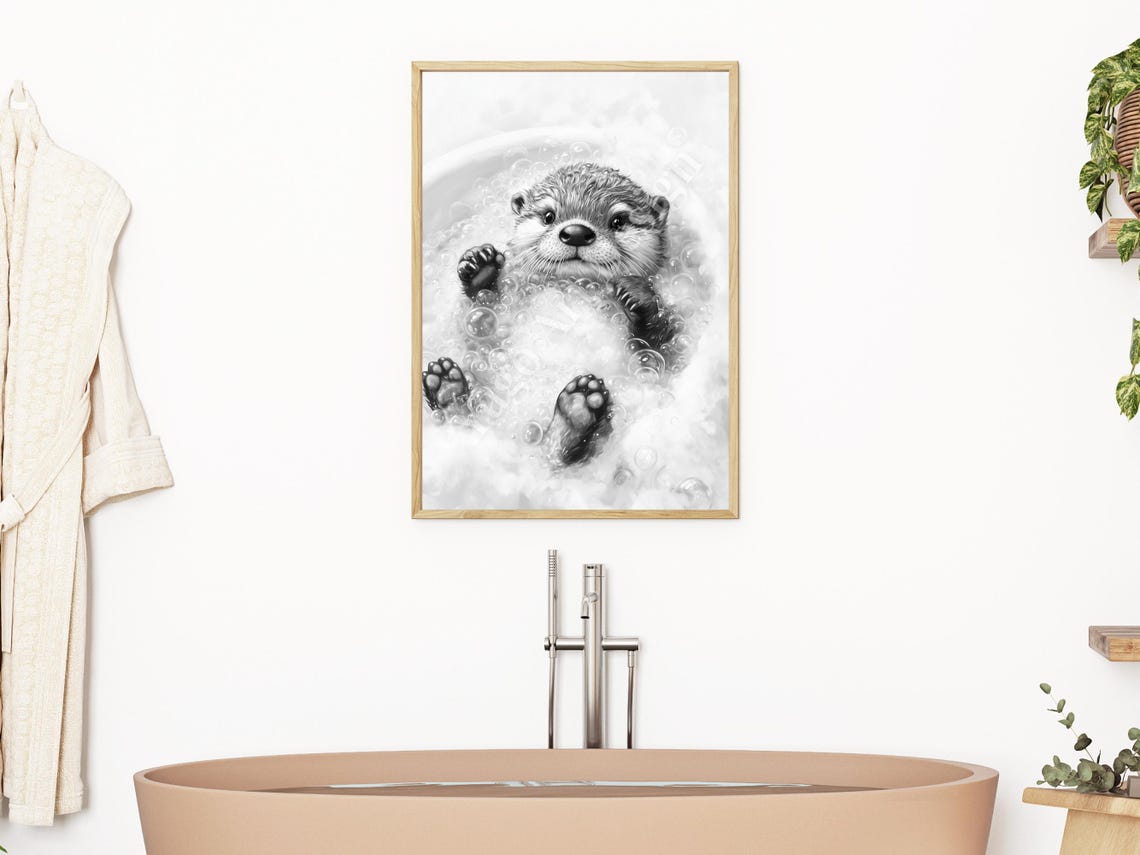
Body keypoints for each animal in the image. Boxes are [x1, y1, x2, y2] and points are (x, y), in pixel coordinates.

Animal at [422, 163, 676, 466]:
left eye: (619, 220)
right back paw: (446, 385)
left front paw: (637, 294)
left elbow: (659, 350)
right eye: (548, 216)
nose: (576, 232)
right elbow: (480, 324)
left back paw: (576, 411)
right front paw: (479, 266)